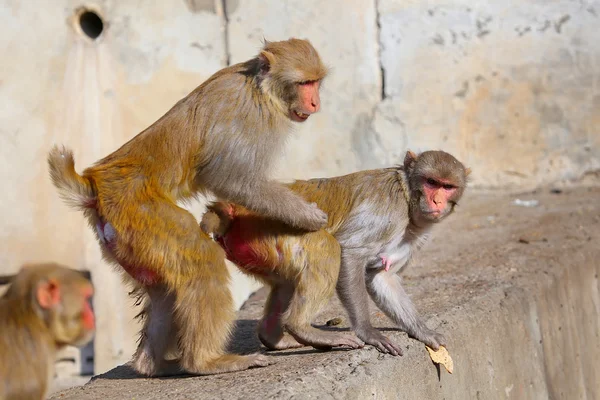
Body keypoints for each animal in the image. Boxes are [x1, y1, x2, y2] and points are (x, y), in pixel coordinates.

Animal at [47, 37, 328, 376]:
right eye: (303, 83)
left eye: (316, 82)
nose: (315, 103)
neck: (261, 90)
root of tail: (96, 188)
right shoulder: (250, 118)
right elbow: (230, 179)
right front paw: (307, 216)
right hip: (144, 215)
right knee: (202, 261)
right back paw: (206, 362)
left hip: (130, 242)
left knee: (163, 291)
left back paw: (152, 364)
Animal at [204, 151, 472, 356]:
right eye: (431, 182)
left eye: (448, 186)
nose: (437, 201)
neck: (407, 199)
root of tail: (234, 210)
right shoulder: (387, 211)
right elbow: (350, 252)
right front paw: (367, 332)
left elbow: (382, 277)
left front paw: (421, 330)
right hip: (267, 228)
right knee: (327, 246)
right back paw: (300, 327)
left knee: (286, 282)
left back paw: (274, 336)